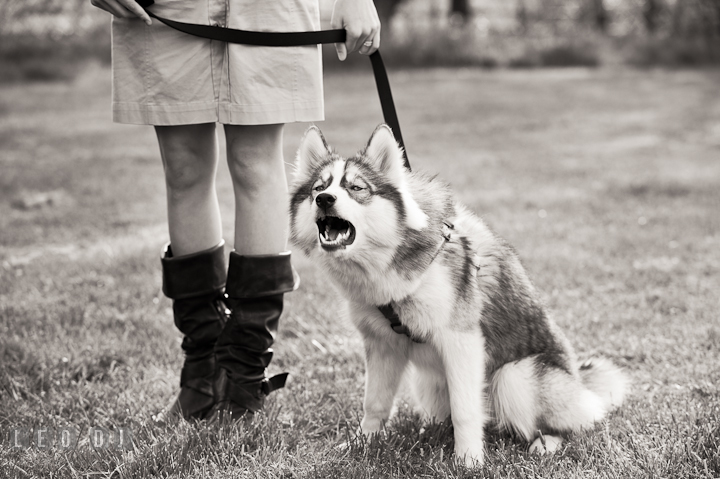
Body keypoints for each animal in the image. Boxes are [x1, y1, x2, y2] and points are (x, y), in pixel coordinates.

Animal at [290, 125, 628, 466]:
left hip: (514, 377)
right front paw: (361, 445)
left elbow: (466, 409)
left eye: (357, 187)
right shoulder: (382, 344)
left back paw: (546, 443)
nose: (324, 199)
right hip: (428, 380)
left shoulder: (461, 340)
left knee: (574, 421)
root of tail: (580, 382)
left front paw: (468, 460)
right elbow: (374, 404)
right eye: (319, 187)